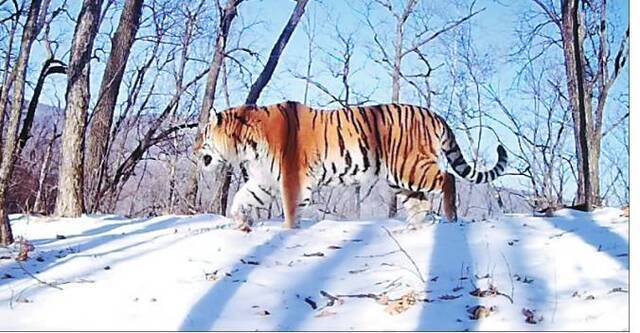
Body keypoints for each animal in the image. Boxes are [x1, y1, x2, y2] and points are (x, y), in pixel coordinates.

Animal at [192, 101, 508, 230]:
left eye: (203, 135)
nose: (194, 152)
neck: (245, 143)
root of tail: (432, 113)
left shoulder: (292, 178)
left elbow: (291, 210)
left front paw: (287, 231)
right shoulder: (264, 180)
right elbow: (242, 197)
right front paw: (239, 221)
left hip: (411, 166)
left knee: (447, 178)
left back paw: (451, 219)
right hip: (400, 178)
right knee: (420, 202)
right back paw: (414, 228)